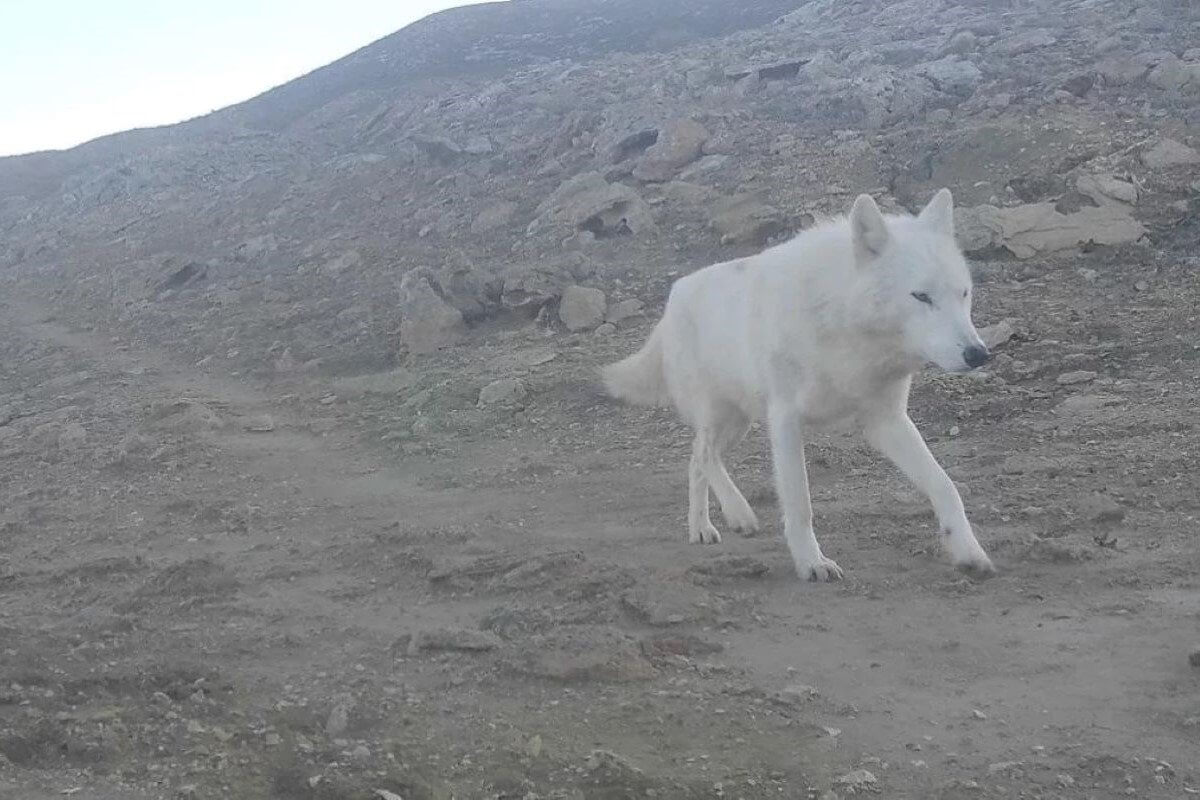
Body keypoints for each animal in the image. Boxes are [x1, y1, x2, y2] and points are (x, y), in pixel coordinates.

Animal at [604, 190, 998, 585]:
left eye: (964, 294)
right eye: (921, 296)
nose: (978, 353)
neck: (844, 326)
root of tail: (673, 296)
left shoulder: (887, 421)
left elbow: (945, 485)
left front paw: (968, 551)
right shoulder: (785, 420)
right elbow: (800, 502)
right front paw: (812, 563)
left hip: (738, 424)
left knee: (695, 459)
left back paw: (702, 528)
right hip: (721, 416)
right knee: (703, 454)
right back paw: (738, 514)